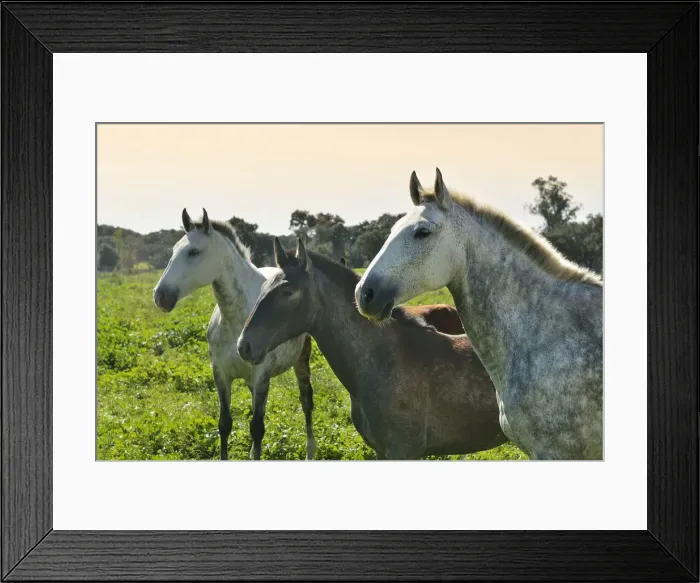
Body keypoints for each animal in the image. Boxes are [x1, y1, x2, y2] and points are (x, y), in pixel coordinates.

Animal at [153, 208, 316, 460]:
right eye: (173, 251)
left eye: (194, 251)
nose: (160, 295)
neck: (236, 318)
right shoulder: (221, 374)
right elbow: (225, 424)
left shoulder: (261, 375)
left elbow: (257, 427)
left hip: (301, 361)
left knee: (306, 401)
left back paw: (310, 451)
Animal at [236, 238, 507, 460]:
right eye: (263, 289)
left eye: (288, 291)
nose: (244, 346)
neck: (384, 359)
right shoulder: (381, 451)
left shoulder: (403, 451)